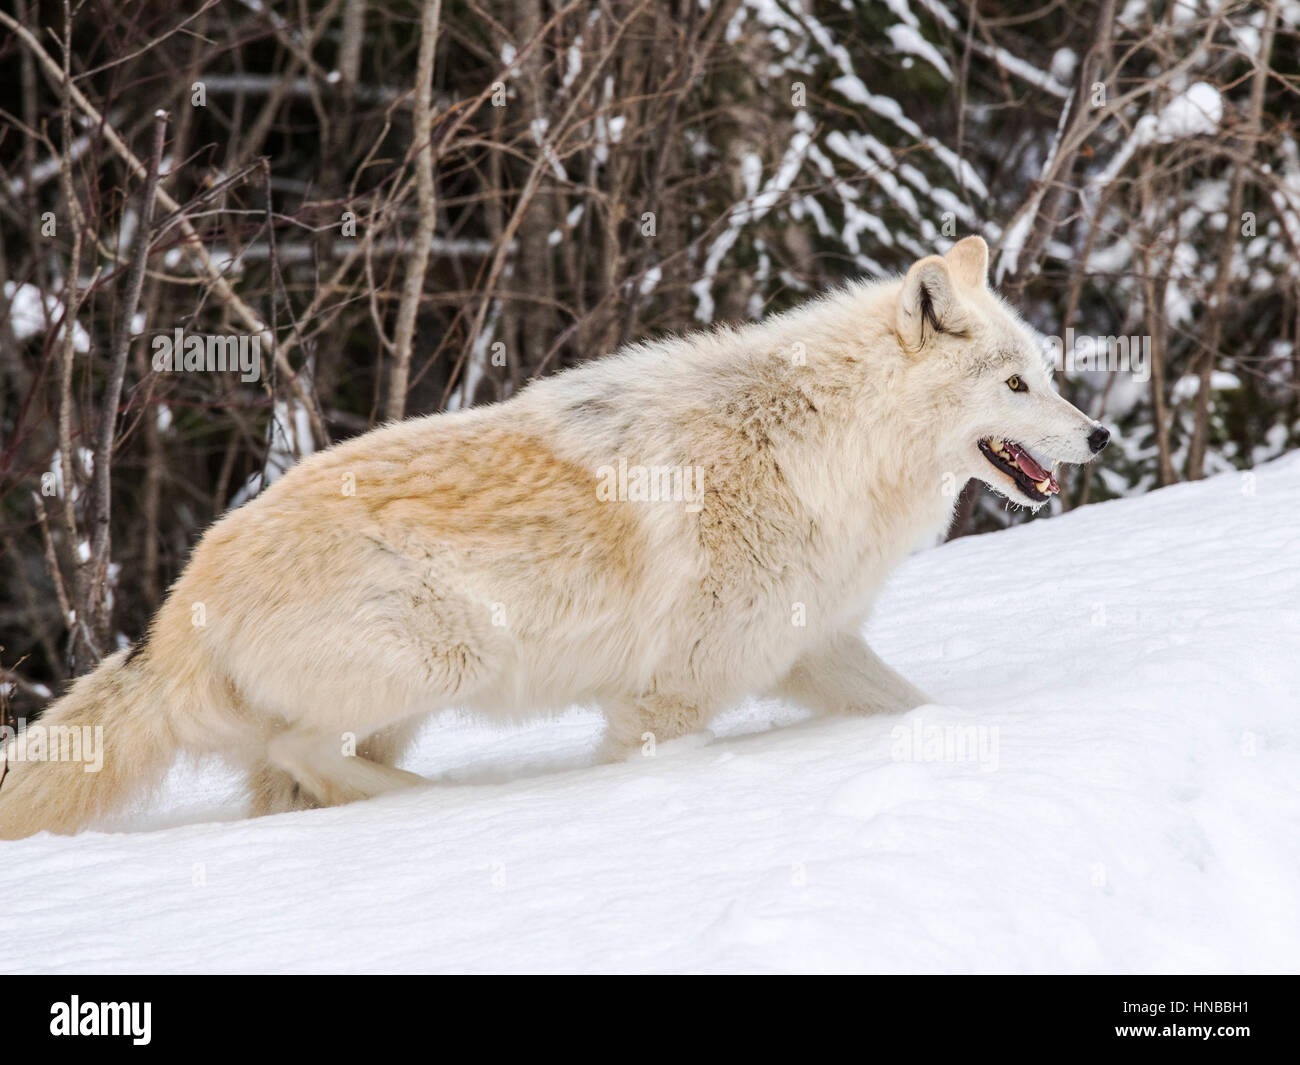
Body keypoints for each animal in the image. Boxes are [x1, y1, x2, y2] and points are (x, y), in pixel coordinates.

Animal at [0, 236, 1108, 839]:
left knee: (291, 784)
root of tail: (176, 605)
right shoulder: (666, 699)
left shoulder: (812, 648)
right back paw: (439, 802)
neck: (821, 444)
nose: (1097, 435)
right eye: (1018, 384)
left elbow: (918, 708)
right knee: (306, 750)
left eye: (1048, 376)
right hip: (445, 656)